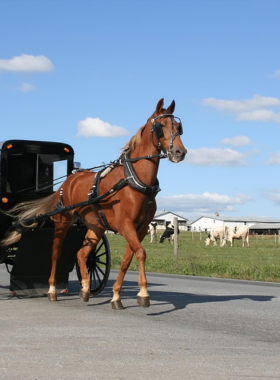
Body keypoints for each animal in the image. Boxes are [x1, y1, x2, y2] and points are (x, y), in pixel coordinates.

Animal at [1, 99, 188, 310]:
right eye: (161, 126)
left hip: (95, 226)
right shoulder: (125, 225)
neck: (134, 181)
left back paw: (85, 289)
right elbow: (141, 253)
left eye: (178, 127)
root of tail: (67, 181)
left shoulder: (139, 228)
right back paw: (52, 290)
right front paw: (143, 293)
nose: (180, 152)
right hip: (63, 222)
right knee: (56, 253)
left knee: (82, 254)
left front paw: (116, 296)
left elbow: (127, 259)